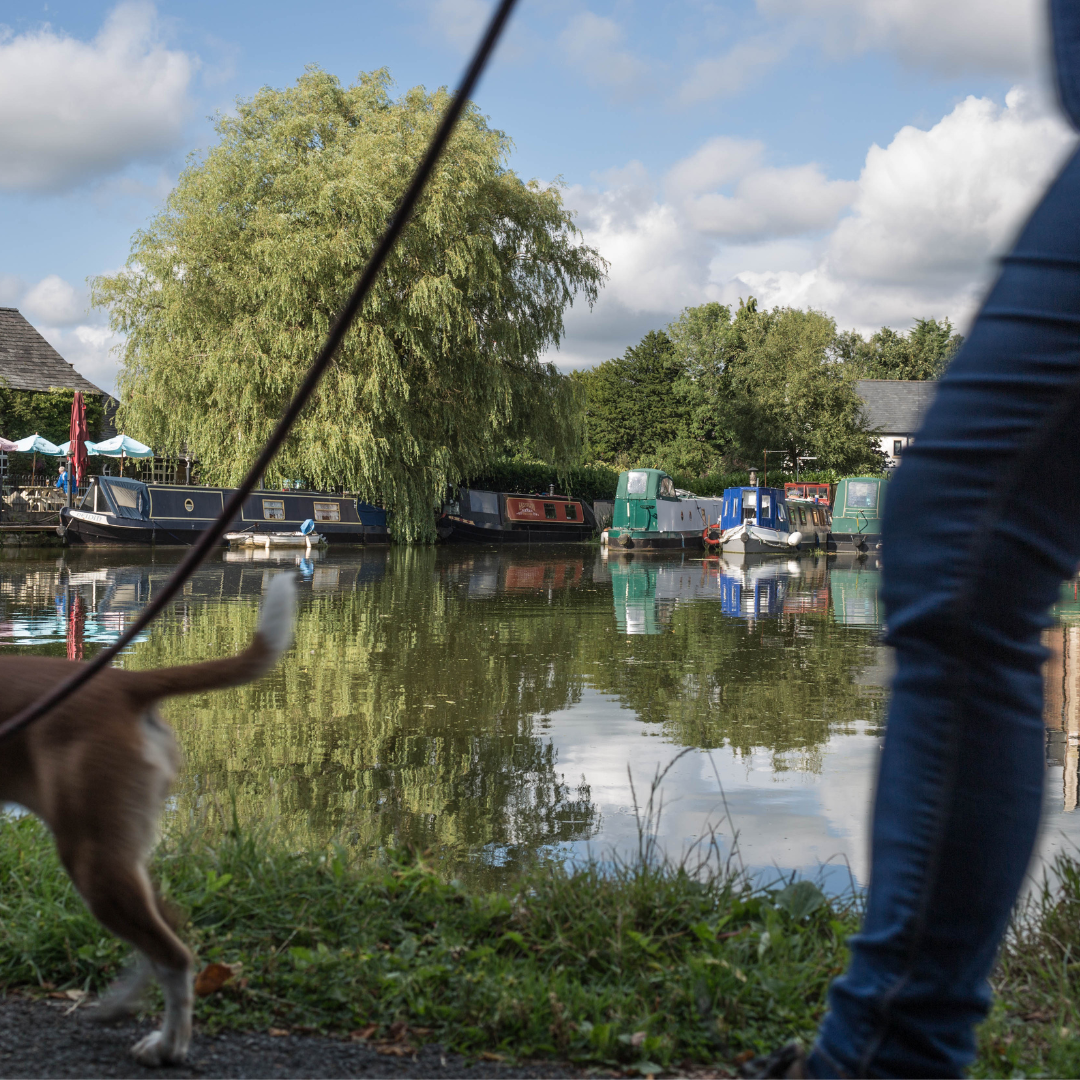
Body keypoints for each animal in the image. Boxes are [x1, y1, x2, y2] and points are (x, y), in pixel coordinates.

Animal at [0, 574, 295, 1062]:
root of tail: (126, 682)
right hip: (119, 853)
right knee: (169, 928)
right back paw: (125, 1007)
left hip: (93, 858)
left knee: (174, 957)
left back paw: (167, 1045)